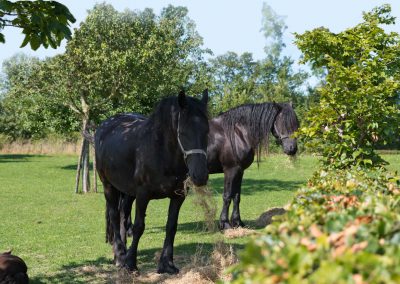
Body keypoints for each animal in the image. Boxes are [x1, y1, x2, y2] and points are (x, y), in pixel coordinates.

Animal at [95, 90, 209, 274]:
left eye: (207, 131)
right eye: (183, 132)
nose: (200, 175)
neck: (160, 151)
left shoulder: (178, 196)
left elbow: (171, 226)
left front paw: (167, 264)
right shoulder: (143, 195)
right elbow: (138, 227)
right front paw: (130, 263)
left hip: (127, 192)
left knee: (123, 215)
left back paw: (122, 251)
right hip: (108, 186)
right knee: (114, 215)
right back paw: (120, 256)